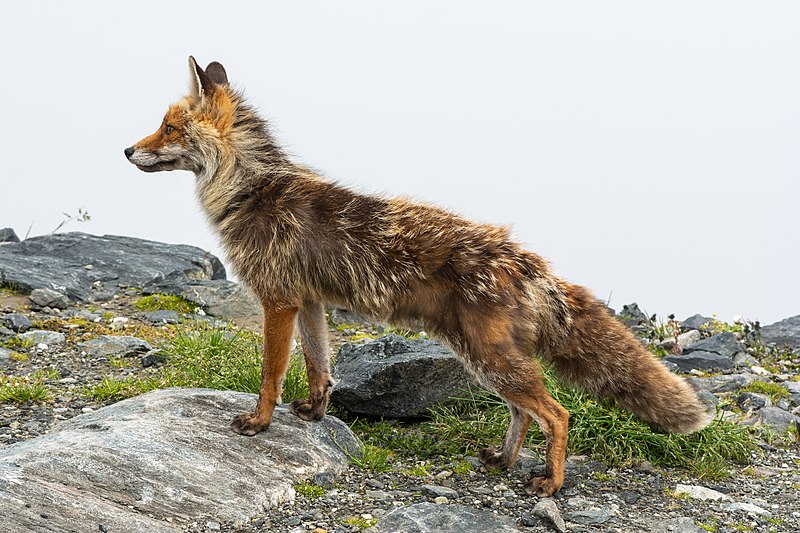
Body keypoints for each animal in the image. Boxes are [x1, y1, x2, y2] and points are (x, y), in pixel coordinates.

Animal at [126, 56, 712, 496]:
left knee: (559, 413)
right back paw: (503, 461)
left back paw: (550, 483)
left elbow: (271, 373)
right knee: (525, 414)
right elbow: (320, 366)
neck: (251, 191)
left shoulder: (278, 300)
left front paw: (260, 423)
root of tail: (525, 258)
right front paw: (315, 412)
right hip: (484, 359)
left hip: (490, 359)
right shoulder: (308, 302)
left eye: (170, 128)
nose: (127, 149)